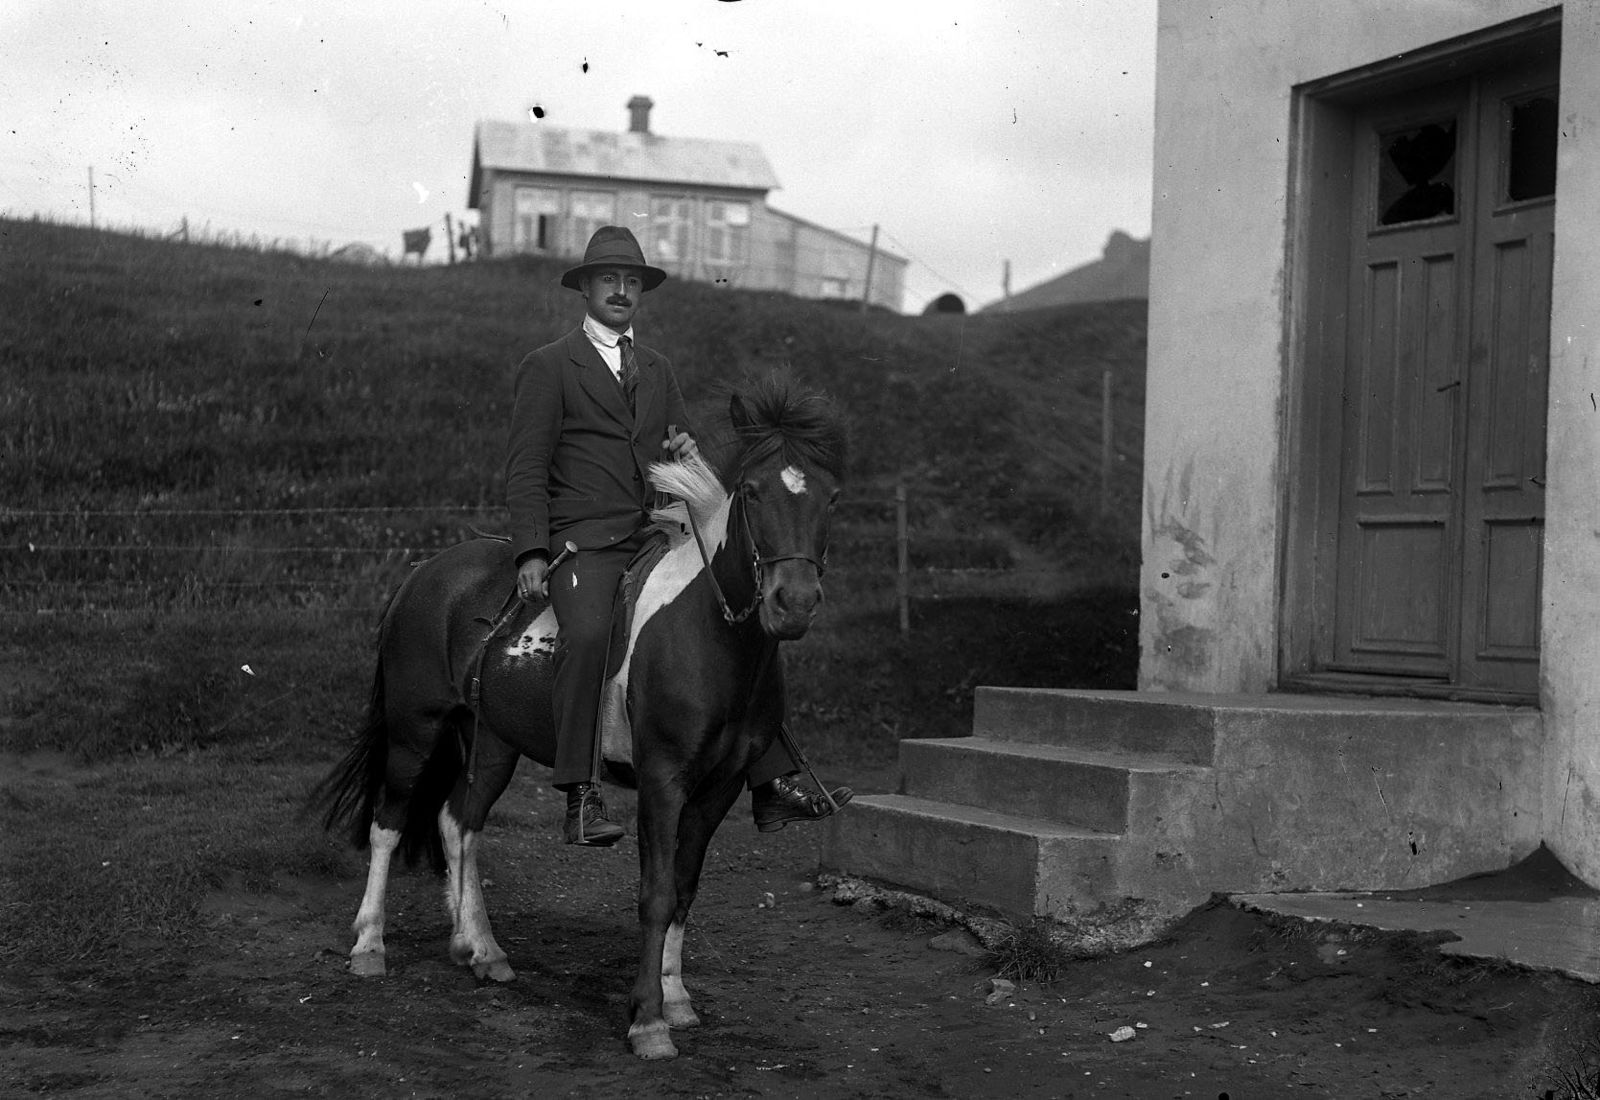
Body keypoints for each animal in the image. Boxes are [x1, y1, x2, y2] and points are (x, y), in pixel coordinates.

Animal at [310, 374, 845, 1061]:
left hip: (492, 741)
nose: (794, 603)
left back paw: (480, 949)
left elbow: (686, 889)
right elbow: (656, 893)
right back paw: (369, 945)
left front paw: (676, 997)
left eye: (830, 495)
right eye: (752, 492)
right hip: (415, 727)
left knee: (460, 822)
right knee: (389, 821)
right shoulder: (663, 780)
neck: (710, 632)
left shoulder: (718, 788)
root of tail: (424, 572)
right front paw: (647, 1021)